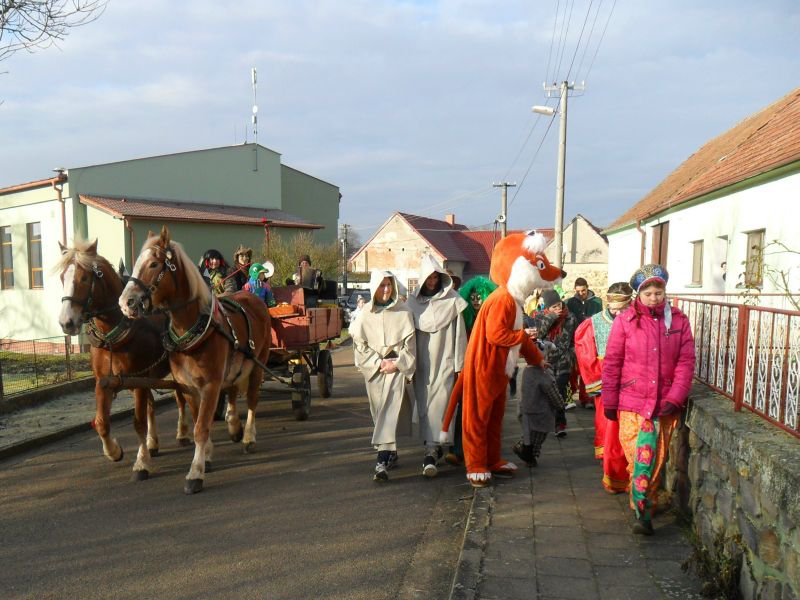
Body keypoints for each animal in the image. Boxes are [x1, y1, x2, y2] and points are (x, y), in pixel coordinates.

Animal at [56, 239, 192, 478]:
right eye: (63, 277)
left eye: (84, 278)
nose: (66, 322)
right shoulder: (105, 382)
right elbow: (102, 422)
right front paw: (114, 451)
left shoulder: (138, 381)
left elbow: (138, 422)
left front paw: (141, 463)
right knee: (153, 405)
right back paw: (153, 443)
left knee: (180, 398)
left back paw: (183, 433)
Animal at [117, 225, 270, 492]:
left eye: (154, 264)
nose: (126, 303)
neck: (192, 328)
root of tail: (253, 299)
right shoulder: (188, 386)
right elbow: (201, 420)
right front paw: (206, 456)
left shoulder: (210, 384)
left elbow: (200, 428)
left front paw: (195, 473)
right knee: (232, 392)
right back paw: (233, 425)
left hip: (257, 364)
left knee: (252, 399)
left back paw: (248, 437)